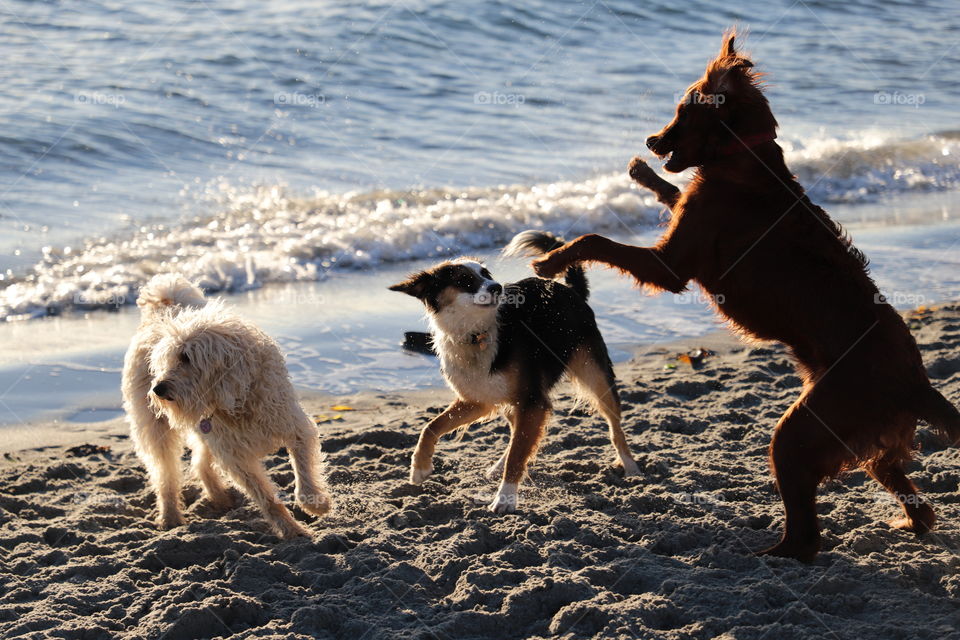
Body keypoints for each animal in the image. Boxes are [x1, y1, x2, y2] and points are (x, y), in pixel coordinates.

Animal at [122, 272, 332, 536]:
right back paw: (170, 515)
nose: (157, 389)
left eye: (186, 357)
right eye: (164, 362)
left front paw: (316, 503)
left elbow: (304, 473)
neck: (237, 401)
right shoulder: (236, 458)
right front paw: (292, 531)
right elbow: (267, 499)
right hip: (157, 430)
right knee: (166, 474)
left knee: (199, 463)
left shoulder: (294, 428)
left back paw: (219, 498)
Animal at [390, 228, 636, 512]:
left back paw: (630, 465)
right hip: (509, 399)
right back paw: (497, 466)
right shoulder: (477, 400)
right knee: (514, 430)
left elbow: (518, 453)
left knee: (614, 426)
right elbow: (430, 426)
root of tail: (568, 289)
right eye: (464, 280)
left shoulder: (533, 401)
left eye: (487, 274)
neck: (476, 335)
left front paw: (506, 496)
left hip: (595, 375)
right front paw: (419, 468)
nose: (497, 287)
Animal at [532, 30, 960, 560]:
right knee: (913, 499)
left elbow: (597, 241)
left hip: (802, 432)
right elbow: (672, 195)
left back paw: (772, 554)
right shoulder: (684, 225)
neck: (742, 155)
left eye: (682, 111)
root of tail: (917, 382)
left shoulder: (672, 265)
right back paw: (907, 523)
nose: (651, 142)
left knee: (807, 535)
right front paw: (645, 174)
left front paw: (552, 260)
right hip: (863, 442)